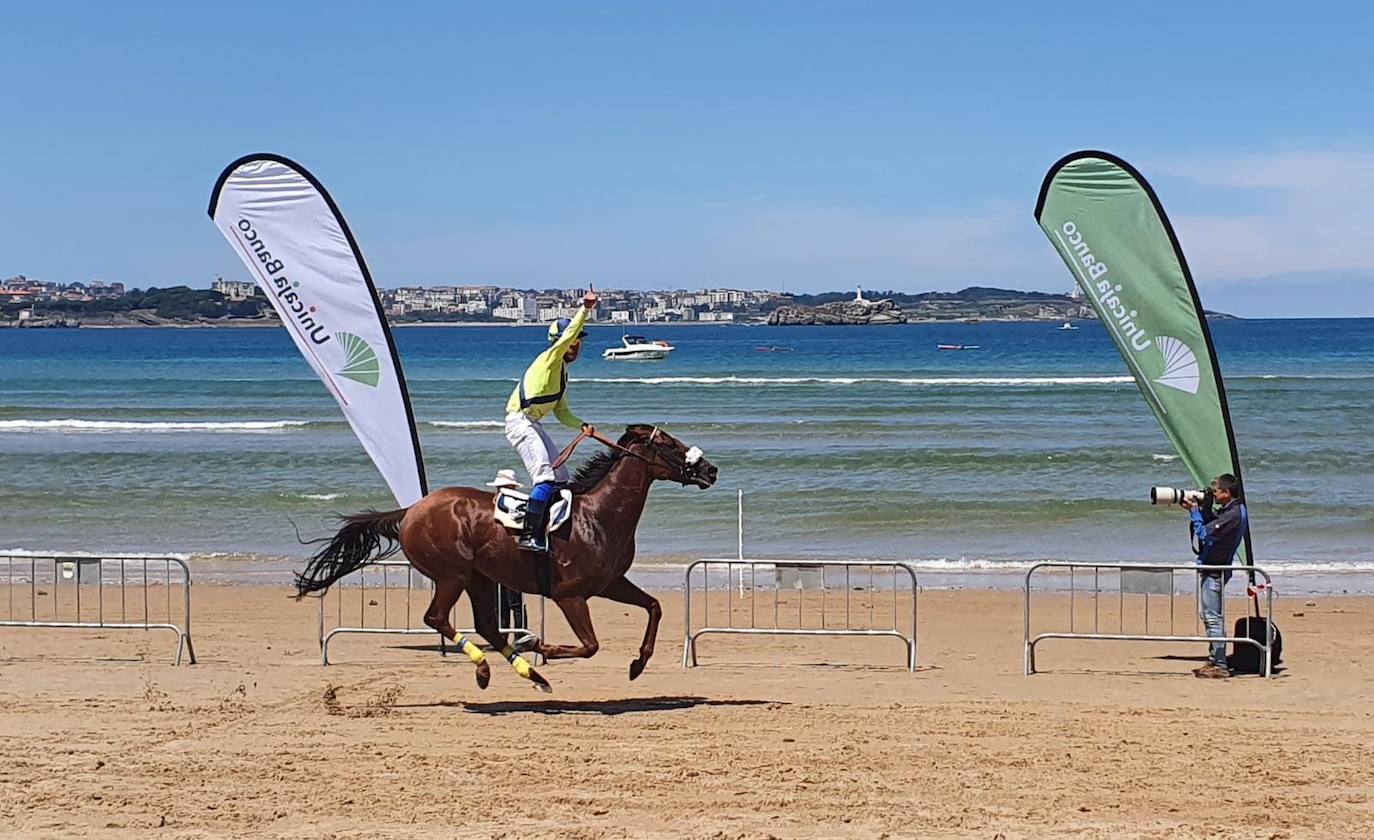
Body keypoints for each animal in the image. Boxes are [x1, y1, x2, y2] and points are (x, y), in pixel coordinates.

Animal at [292, 423, 719, 692]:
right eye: (670, 444)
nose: (711, 469)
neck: (600, 515)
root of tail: (410, 510)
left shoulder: (609, 583)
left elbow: (654, 606)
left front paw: (638, 664)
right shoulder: (570, 595)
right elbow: (590, 645)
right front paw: (543, 647)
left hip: (480, 577)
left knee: (486, 624)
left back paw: (530, 674)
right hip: (453, 575)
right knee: (437, 618)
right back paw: (493, 666)